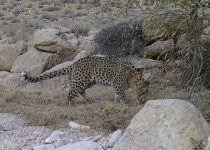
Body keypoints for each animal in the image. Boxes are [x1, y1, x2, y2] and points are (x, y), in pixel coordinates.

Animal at [20, 55, 148, 105]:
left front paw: (117, 102)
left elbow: (117, 95)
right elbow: (122, 95)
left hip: (90, 81)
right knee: (71, 92)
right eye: (145, 91)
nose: (144, 100)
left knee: (81, 91)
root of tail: (75, 63)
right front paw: (126, 104)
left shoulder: (116, 86)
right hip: (81, 81)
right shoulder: (117, 84)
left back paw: (90, 100)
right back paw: (70, 104)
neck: (131, 76)